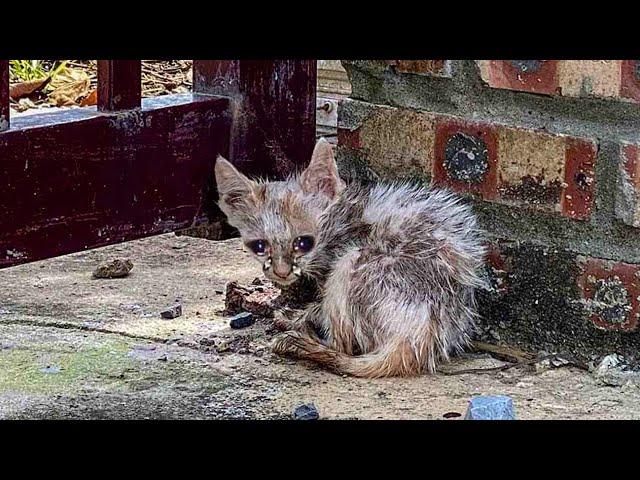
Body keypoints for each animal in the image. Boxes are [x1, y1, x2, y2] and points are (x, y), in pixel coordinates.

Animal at [215, 137, 484, 376]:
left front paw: (301, 318)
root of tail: (421, 334)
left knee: (343, 346)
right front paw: (298, 315)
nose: (281, 273)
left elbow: (320, 309)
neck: (336, 219)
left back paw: (302, 342)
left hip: (352, 261)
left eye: (303, 243)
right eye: (259, 246)